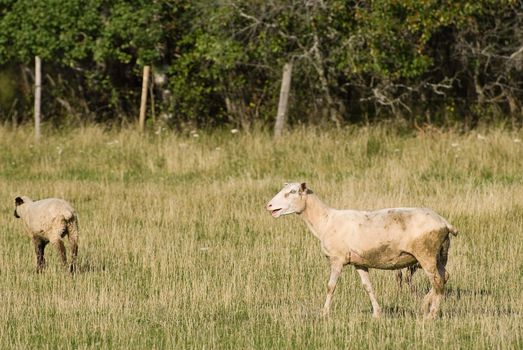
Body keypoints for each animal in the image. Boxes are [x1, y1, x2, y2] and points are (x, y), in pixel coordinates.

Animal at [268, 183, 456, 320]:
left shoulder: (337, 259)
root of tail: (444, 222)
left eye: (292, 192)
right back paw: (425, 305)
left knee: (437, 281)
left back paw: (431, 315)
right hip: (440, 254)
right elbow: (368, 287)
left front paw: (324, 313)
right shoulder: (359, 262)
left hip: (426, 253)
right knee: (444, 277)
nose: (268, 205)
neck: (325, 221)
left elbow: (330, 287)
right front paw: (377, 313)